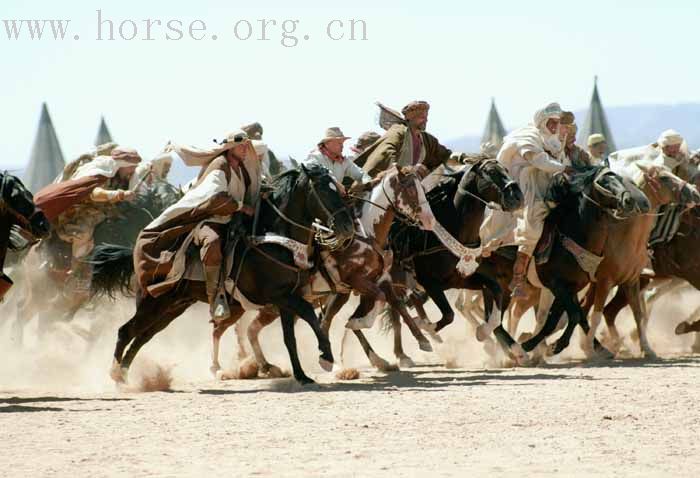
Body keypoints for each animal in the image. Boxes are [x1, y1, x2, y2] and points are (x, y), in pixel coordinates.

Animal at [91, 164, 356, 384]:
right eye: (323, 190)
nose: (347, 227)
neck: (275, 240)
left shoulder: (287, 300)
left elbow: (289, 338)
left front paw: (301, 375)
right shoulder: (281, 297)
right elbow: (312, 316)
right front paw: (325, 357)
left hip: (173, 307)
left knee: (142, 336)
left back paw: (127, 375)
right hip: (152, 303)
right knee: (126, 331)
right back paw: (116, 374)